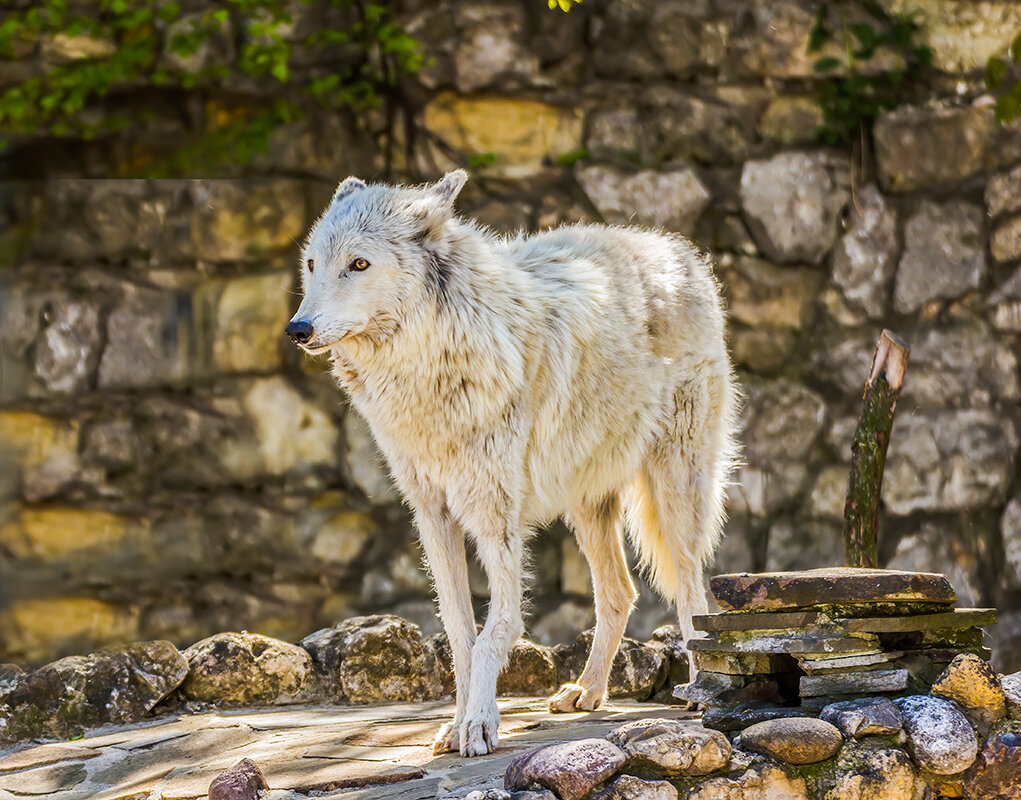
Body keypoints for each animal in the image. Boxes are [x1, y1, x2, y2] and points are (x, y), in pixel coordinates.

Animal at [283, 168, 739, 755]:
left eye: (358, 264)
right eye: (312, 264)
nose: (298, 329)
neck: (433, 365)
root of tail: (677, 249)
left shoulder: (494, 514)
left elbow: (497, 628)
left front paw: (480, 723)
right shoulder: (433, 514)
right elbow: (459, 631)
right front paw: (456, 723)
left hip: (675, 489)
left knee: (691, 590)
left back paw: (701, 692)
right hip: (587, 505)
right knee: (620, 593)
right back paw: (588, 692)